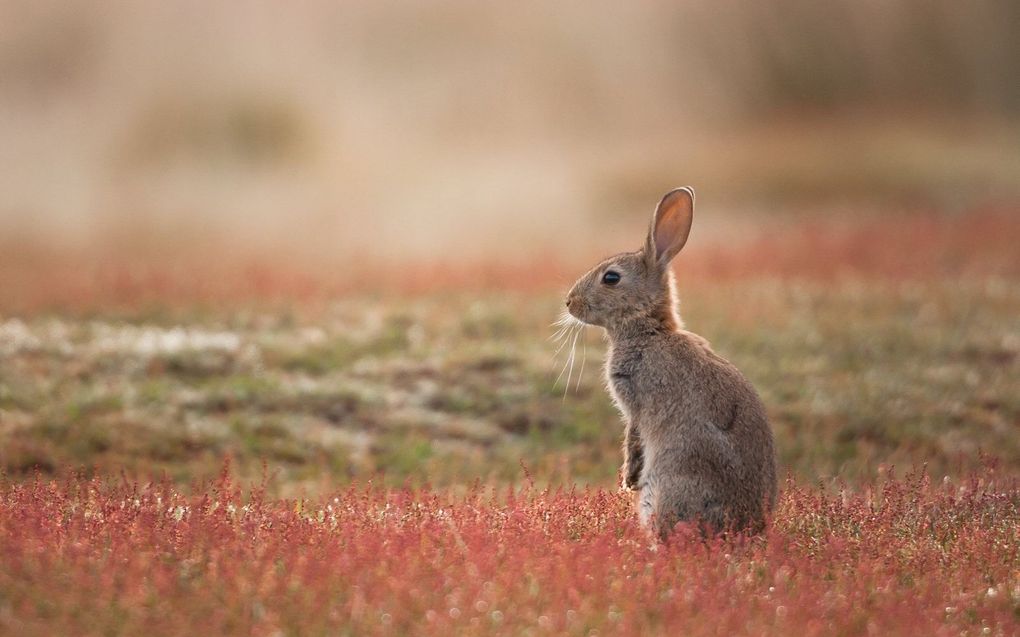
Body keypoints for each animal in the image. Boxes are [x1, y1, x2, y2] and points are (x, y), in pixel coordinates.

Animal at [563, 187, 775, 538]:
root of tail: (743, 529)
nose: (569, 302)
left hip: (667, 490)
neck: (649, 329)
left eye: (611, 278)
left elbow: (633, 438)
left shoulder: (636, 403)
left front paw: (627, 479)